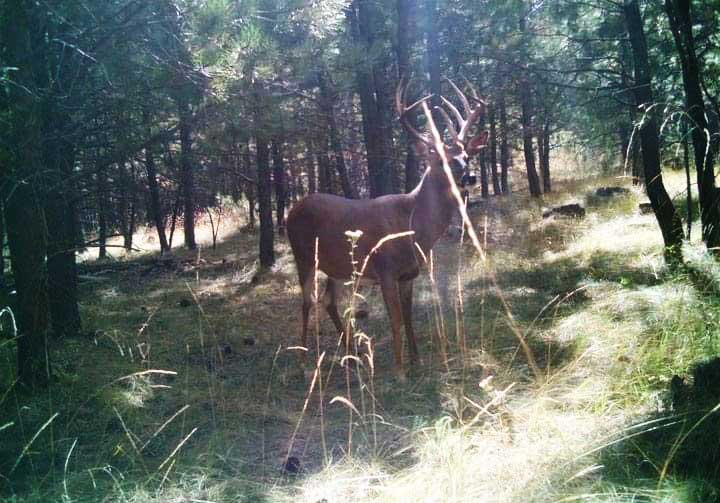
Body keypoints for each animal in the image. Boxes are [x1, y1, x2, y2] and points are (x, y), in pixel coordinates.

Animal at [286, 78, 490, 378]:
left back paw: (352, 354)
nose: (470, 176)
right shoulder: (385, 270)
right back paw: (302, 362)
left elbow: (408, 317)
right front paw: (400, 370)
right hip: (302, 255)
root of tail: (291, 210)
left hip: (335, 265)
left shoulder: (409, 274)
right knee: (307, 301)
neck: (413, 227)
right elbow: (395, 319)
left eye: (466, 155)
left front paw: (417, 360)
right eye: (440, 159)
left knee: (328, 301)